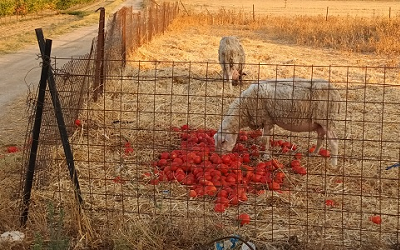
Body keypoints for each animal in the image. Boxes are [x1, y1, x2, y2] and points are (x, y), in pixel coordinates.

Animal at [214, 77, 342, 166]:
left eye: (223, 142)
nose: (219, 157)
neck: (245, 106)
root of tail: (336, 93)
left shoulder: (266, 119)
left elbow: (265, 139)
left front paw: (266, 156)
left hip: (327, 119)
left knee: (334, 142)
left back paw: (333, 164)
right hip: (320, 123)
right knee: (320, 139)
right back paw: (314, 153)